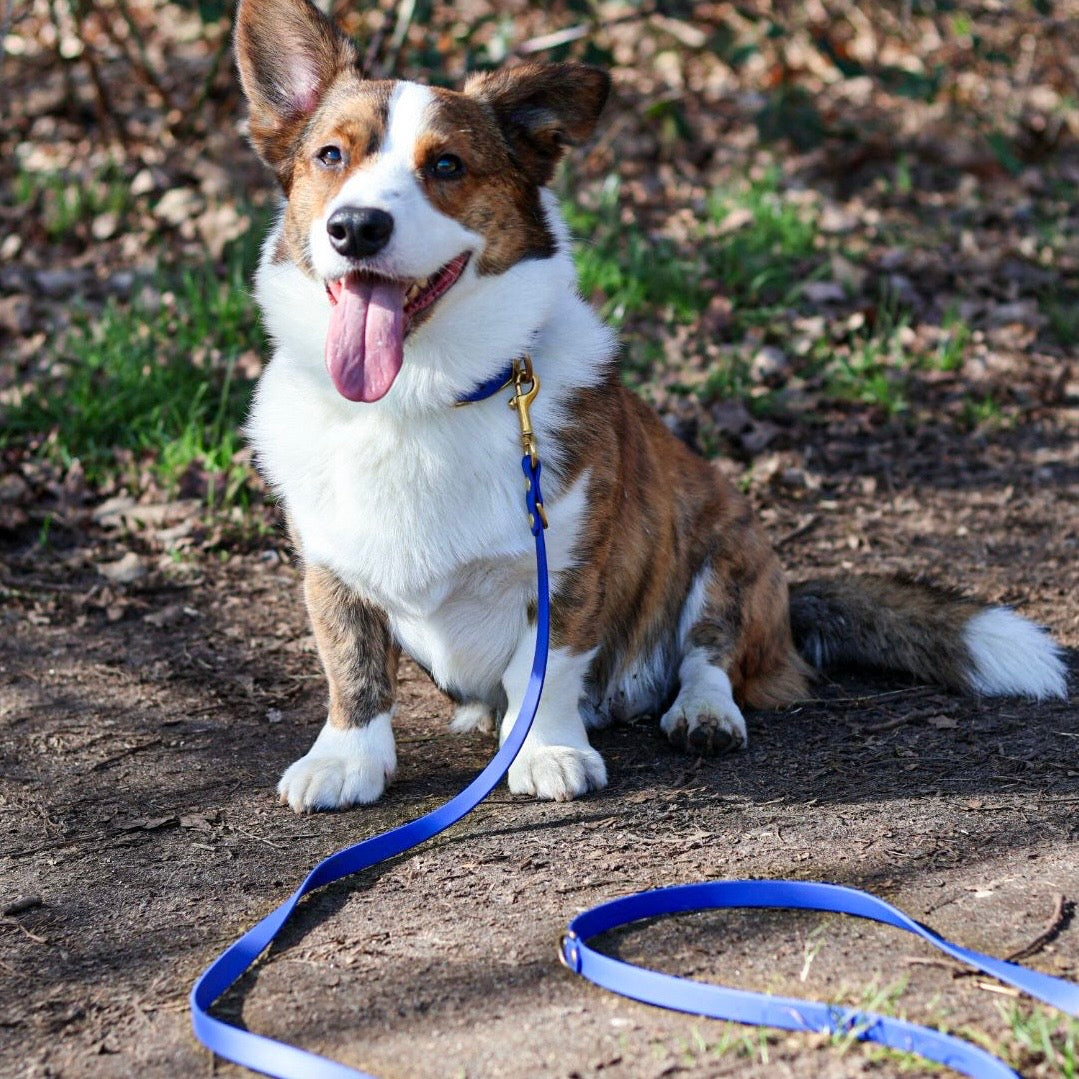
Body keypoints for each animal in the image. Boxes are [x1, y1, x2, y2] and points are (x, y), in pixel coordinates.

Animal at [231, 0, 1066, 811]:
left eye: (446, 165)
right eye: (330, 156)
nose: (355, 227)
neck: (420, 398)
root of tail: (788, 606)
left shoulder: (567, 567)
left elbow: (546, 670)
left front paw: (546, 750)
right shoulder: (330, 568)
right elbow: (352, 668)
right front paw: (345, 760)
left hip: (725, 548)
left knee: (711, 657)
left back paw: (701, 714)